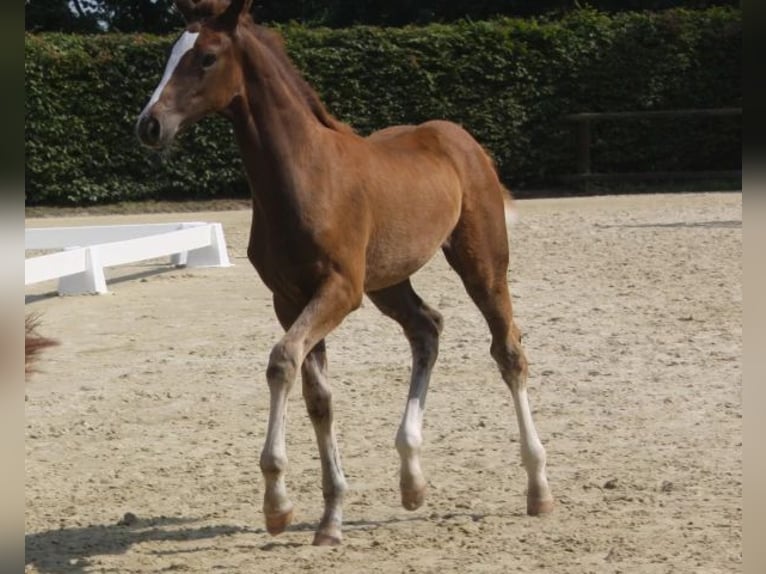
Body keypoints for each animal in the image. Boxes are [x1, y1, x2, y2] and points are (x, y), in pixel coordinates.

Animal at [138, 0, 556, 548]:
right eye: (171, 53)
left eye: (206, 57)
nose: (149, 125)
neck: (306, 175)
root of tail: (459, 138)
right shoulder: (290, 298)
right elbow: (317, 395)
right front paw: (328, 516)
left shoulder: (339, 290)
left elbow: (281, 361)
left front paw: (278, 504)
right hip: (389, 281)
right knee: (427, 329)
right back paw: (412, 482)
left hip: (481, 264)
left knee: (508, 351)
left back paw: (538, 488)